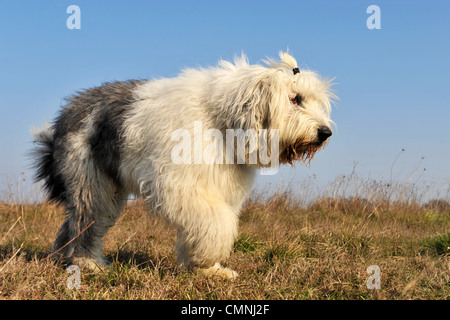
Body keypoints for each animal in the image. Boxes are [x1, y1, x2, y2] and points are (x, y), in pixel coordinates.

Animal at [30, 50, 334, 278]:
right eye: (295, 99)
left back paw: (63, 258)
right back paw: (87, 263)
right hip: (91, 180)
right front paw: (207, 261)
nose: (325, 133)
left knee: (74, 223)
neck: (220, 118)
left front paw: (209, 269)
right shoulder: (179, 184)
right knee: (86, 221)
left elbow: (210, 222)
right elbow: (215, 221)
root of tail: (67, 112)